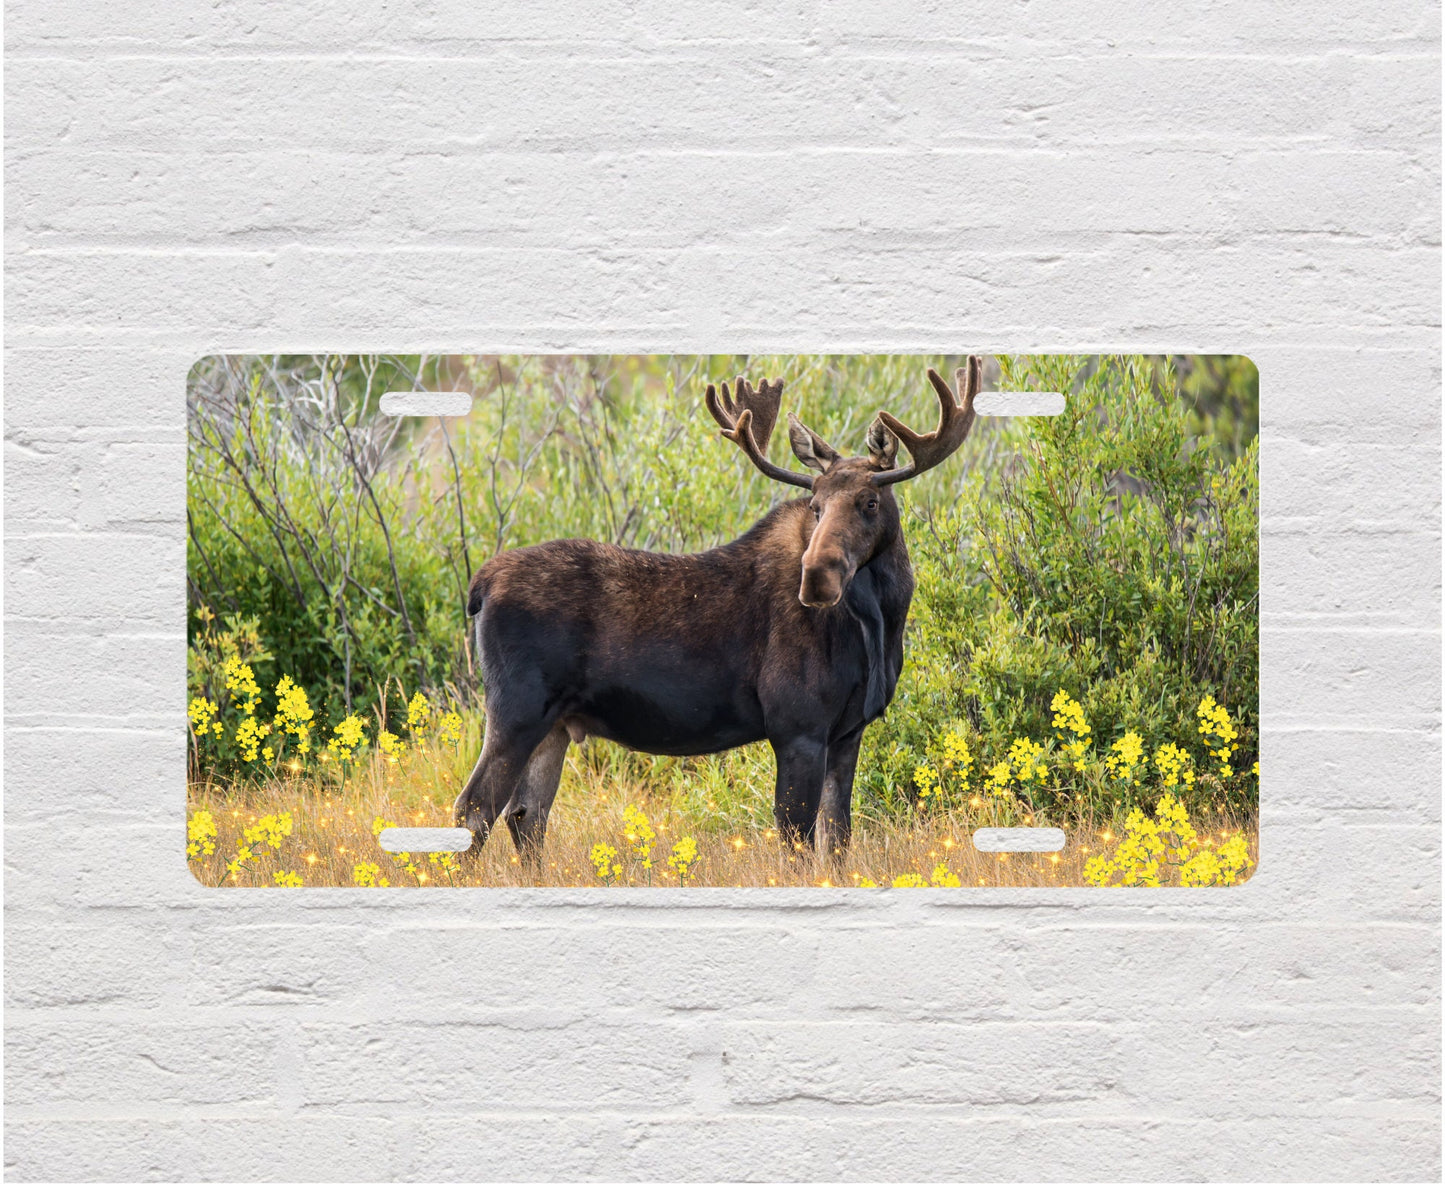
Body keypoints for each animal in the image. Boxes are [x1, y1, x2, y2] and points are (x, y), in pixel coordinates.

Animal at [454, 357, 981, 865]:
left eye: (869, 501)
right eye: (815, 504)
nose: (816, 577)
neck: (880, 623)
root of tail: (480, 585)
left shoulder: (847, 733)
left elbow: (837, 842)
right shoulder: (797, 728)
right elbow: (796, 841)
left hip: (555, 724)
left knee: (525, 815)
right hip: (516, 710)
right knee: (474, 809)